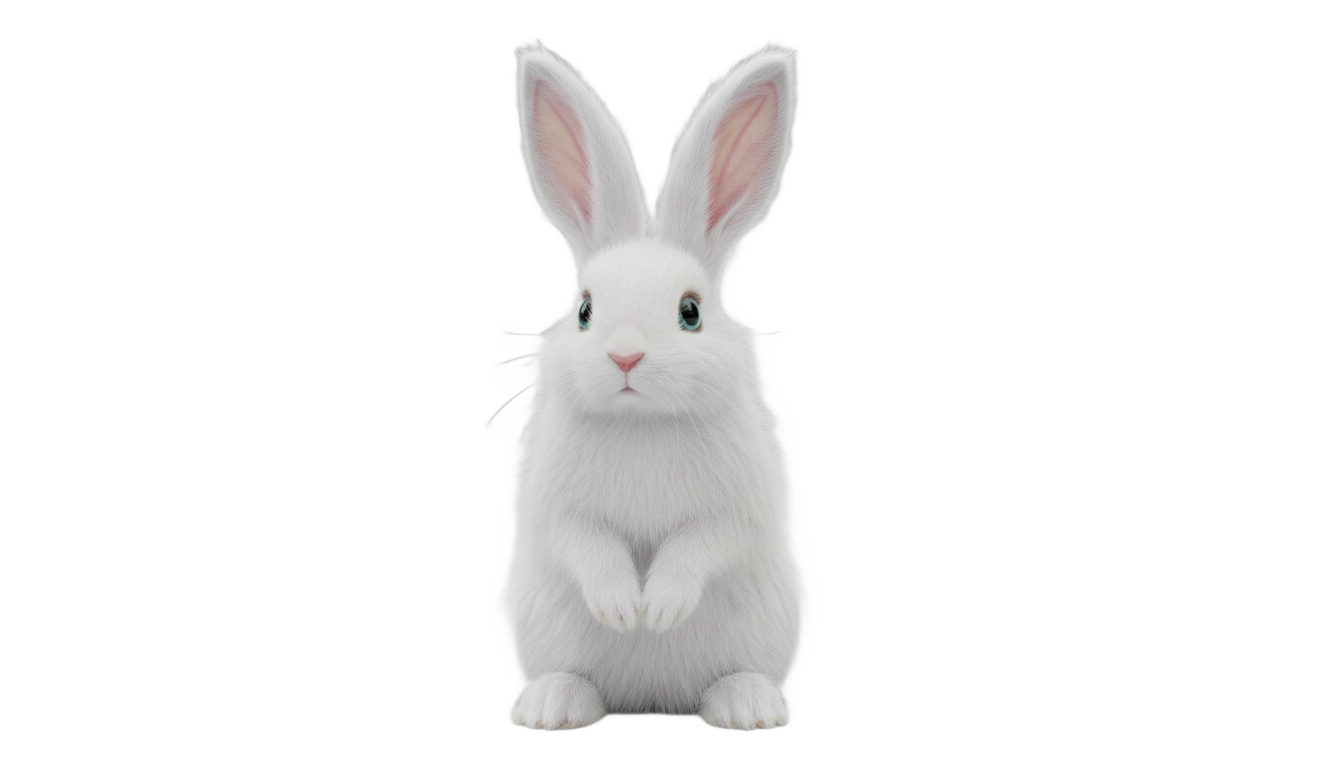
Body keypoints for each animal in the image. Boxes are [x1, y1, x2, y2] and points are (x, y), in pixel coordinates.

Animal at [509, 46, 798, 730]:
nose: (625, 355)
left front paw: (658, 610)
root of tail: (649, 697)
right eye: (585, 309)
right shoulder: (563, 511)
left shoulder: (731, 512)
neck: (642, 421)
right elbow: (585, 542)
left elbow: (702, 543)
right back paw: (553, 704)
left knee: (725, 678)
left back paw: (748, 707)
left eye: (690, 312)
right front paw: (623, 609)